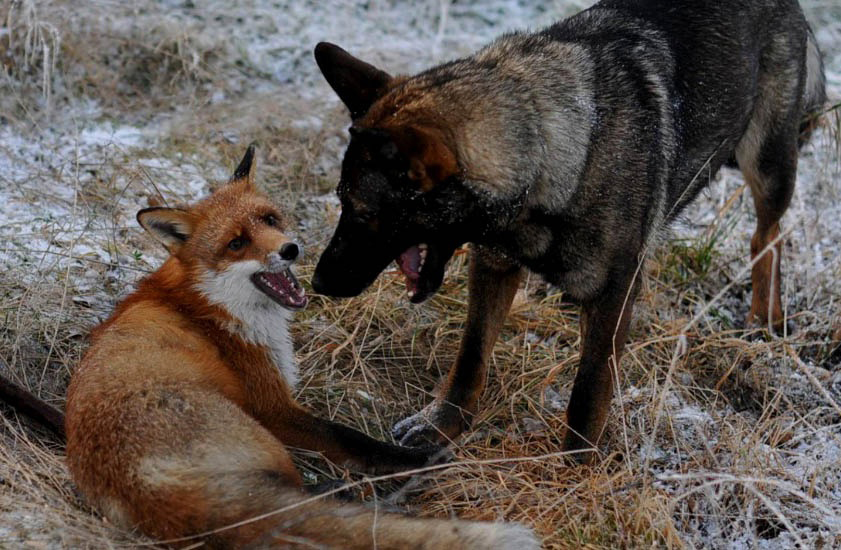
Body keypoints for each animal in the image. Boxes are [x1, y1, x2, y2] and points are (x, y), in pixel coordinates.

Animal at [65, 148, 540, 550]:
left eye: (270, 219)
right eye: (236, 243)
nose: (290, 249)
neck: (208, 305)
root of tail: (150, 490)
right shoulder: (275, 406)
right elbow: (353, 439)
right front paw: (420, 458)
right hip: (266, 438)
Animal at [306, 0, 820, 462]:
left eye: (363, 213)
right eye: (341, 202)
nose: (318, 283)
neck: (548, 151)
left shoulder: (615, 293)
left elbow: (588, 393)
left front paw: (575, 471)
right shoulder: (492, 265)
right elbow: (471, 357)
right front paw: (441, 425)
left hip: (767, 163)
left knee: (767, 235)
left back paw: (764, 321)